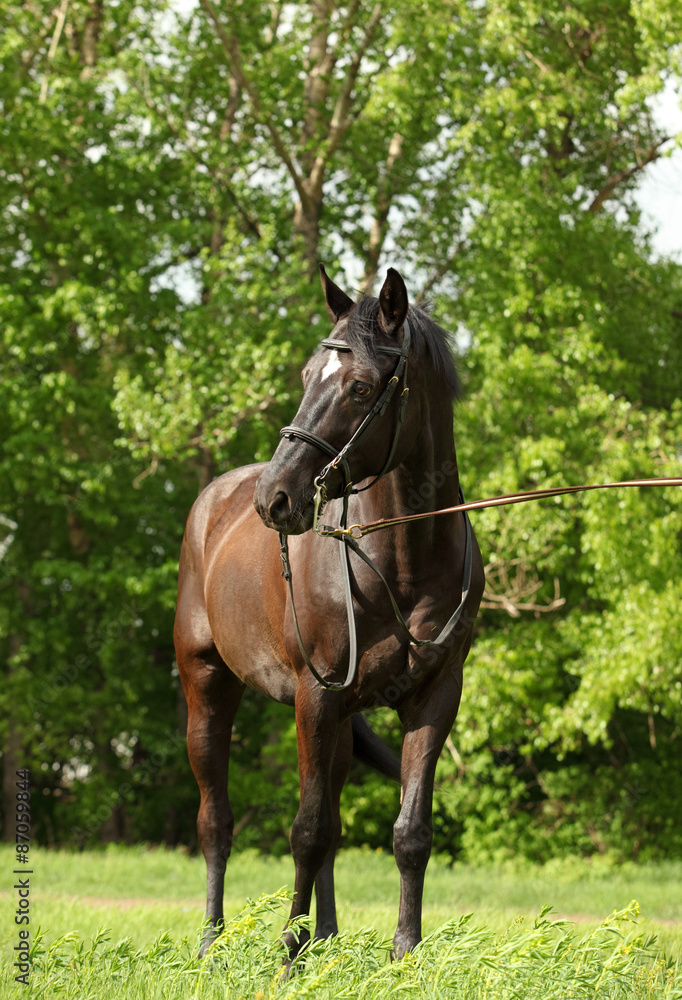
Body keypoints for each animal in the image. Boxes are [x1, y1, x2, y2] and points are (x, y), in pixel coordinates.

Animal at [175, 264, 484, 960]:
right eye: (306, 375)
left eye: (361, 386)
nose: (275, 497)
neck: (402, 559)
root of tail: (215, 500)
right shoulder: (314, 697)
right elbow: (307, 830)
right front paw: (285, 960)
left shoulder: (434, 695)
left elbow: (408, 832)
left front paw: (405, 953)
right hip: (208, 688)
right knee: (214, 820)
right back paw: (210, 943)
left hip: (339, 721)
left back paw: (327, 937)